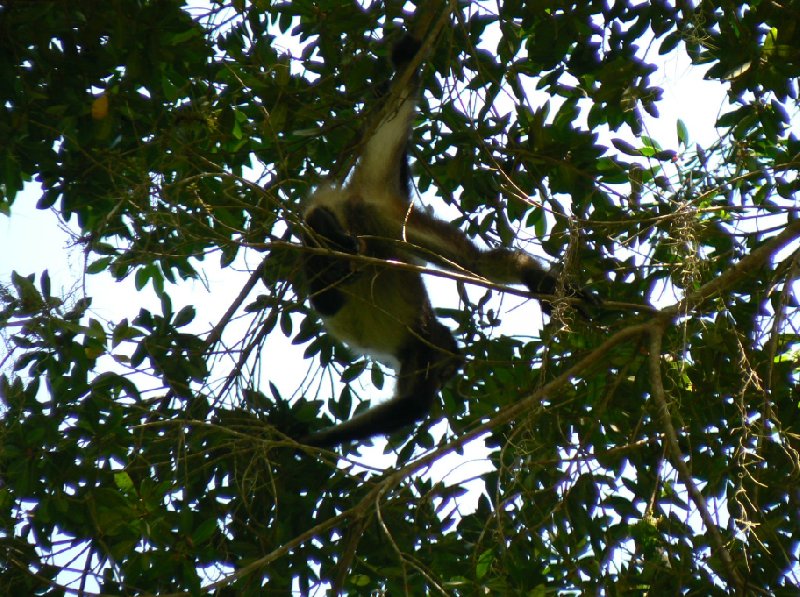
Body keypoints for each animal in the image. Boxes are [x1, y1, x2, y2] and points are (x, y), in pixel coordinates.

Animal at [298, 31, 592, 442]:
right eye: (445, 370)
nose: (445, 377)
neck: (424, 337)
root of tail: (368, 198)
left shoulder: (417, 355)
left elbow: (409, 406)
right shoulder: (423, 352)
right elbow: (411, 407)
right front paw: (295, 439)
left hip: (386, 225)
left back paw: (325, 229)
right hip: (388, 228)